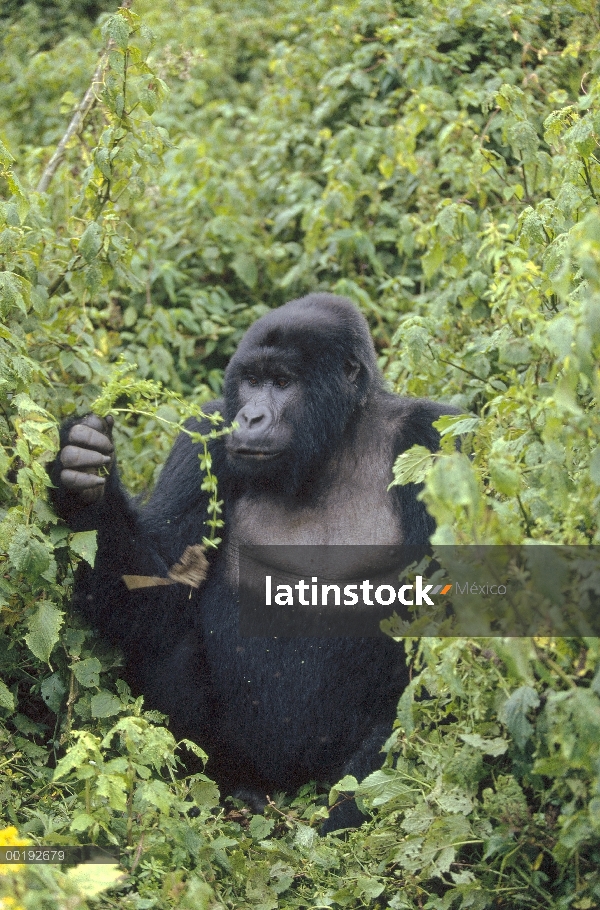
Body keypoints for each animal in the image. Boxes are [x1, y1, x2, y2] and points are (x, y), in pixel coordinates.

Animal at [50, 294, 454, 832]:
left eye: (282, 382)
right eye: (251, 380)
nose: (251, 418)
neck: (335, 440)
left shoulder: (433, 439)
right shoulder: (206, 430)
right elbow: (156, 591)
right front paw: (80, 480)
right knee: (168, 638)